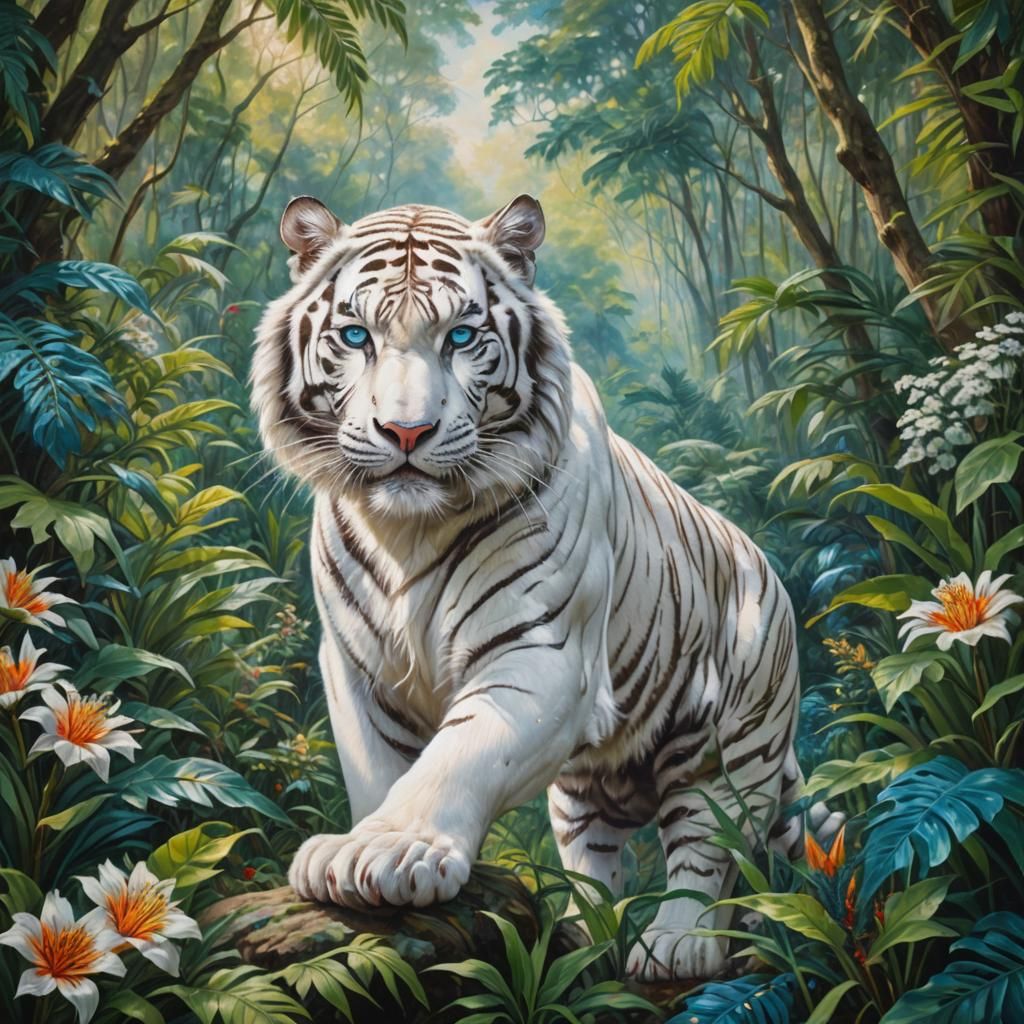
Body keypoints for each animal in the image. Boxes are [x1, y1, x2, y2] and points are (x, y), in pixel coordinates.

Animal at [251, 193, 813, 980]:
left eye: (460, 335)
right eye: (356, 335)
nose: (405, 432)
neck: (405, 531)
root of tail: (772, 575)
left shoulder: (541, 653)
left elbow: (461, 753)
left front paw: (392, 851)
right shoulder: (358, 667)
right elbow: (378, 767)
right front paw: (356, 851)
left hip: (730, 747)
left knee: (706, 844)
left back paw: (676, 945)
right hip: (582, 798)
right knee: (594, 855)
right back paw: (584, 934)